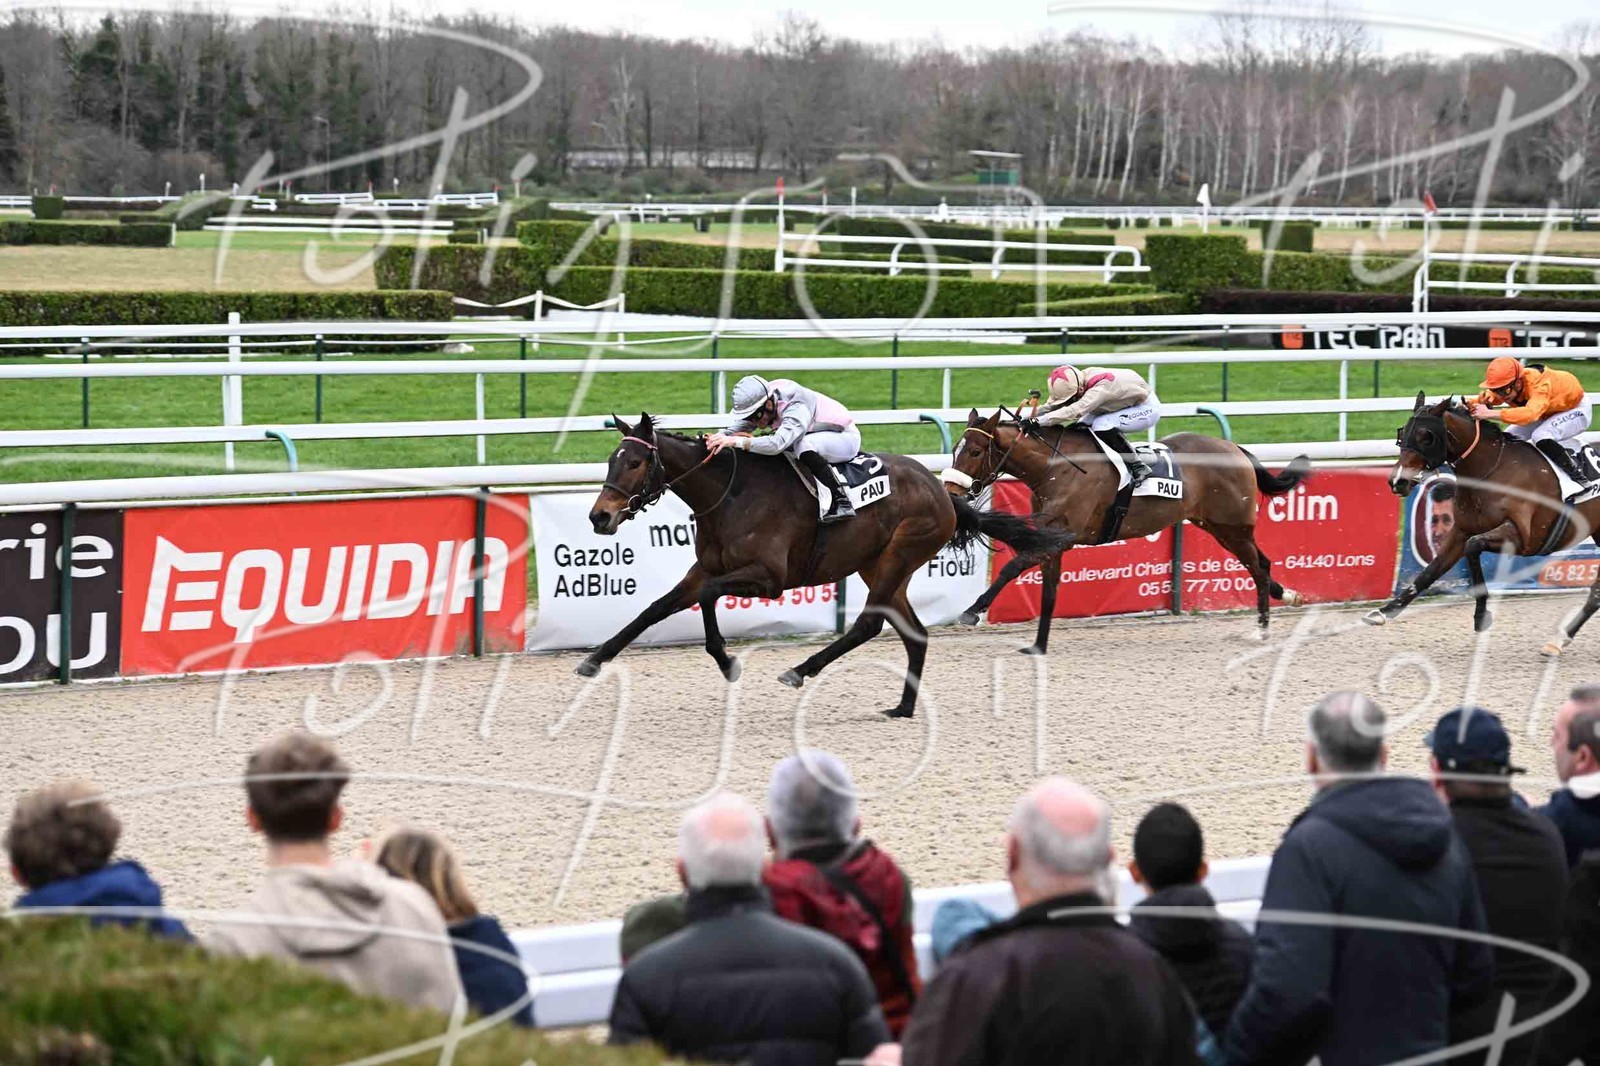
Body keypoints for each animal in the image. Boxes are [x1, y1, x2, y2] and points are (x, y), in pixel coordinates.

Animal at [580, 413, 1074, 718]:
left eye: (636, 461)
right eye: (610, 460)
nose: (599, 517)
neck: (732, 494)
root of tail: (942, 493)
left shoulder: (769, 578)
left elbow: (705, 598)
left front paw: (726, 660)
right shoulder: (703, 569)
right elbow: (654, 609)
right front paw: (594, 659)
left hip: (897, 556)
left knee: (868, 625)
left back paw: (800, 670)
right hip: (880, 565)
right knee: (914, 632)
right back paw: (903, 707)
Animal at [943, 409, 1313, 652]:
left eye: (975, 451)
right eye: (956, 448)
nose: (951, 491)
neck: (1056, 467)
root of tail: (1234, 448)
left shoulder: (1062, 536)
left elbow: (1011, 567)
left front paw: (972, 611)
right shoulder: (1052, 538)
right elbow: (1048, 594)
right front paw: (1038, 645)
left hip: (1233, 526)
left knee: (1259, 566)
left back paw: (1262, 630)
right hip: (1217, 526)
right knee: (1260, 564)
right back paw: (1287, 597)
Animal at [1366, 392, 1600, 656]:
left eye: (1426, 436)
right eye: (1403, 433)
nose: (1398, 481)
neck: (1493, 470)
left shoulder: (1523, 538)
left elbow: (1473, 546)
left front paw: (1481, 616)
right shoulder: (1460, 532)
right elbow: (1428, 573)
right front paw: (1384, 611)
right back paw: (1558, 641)